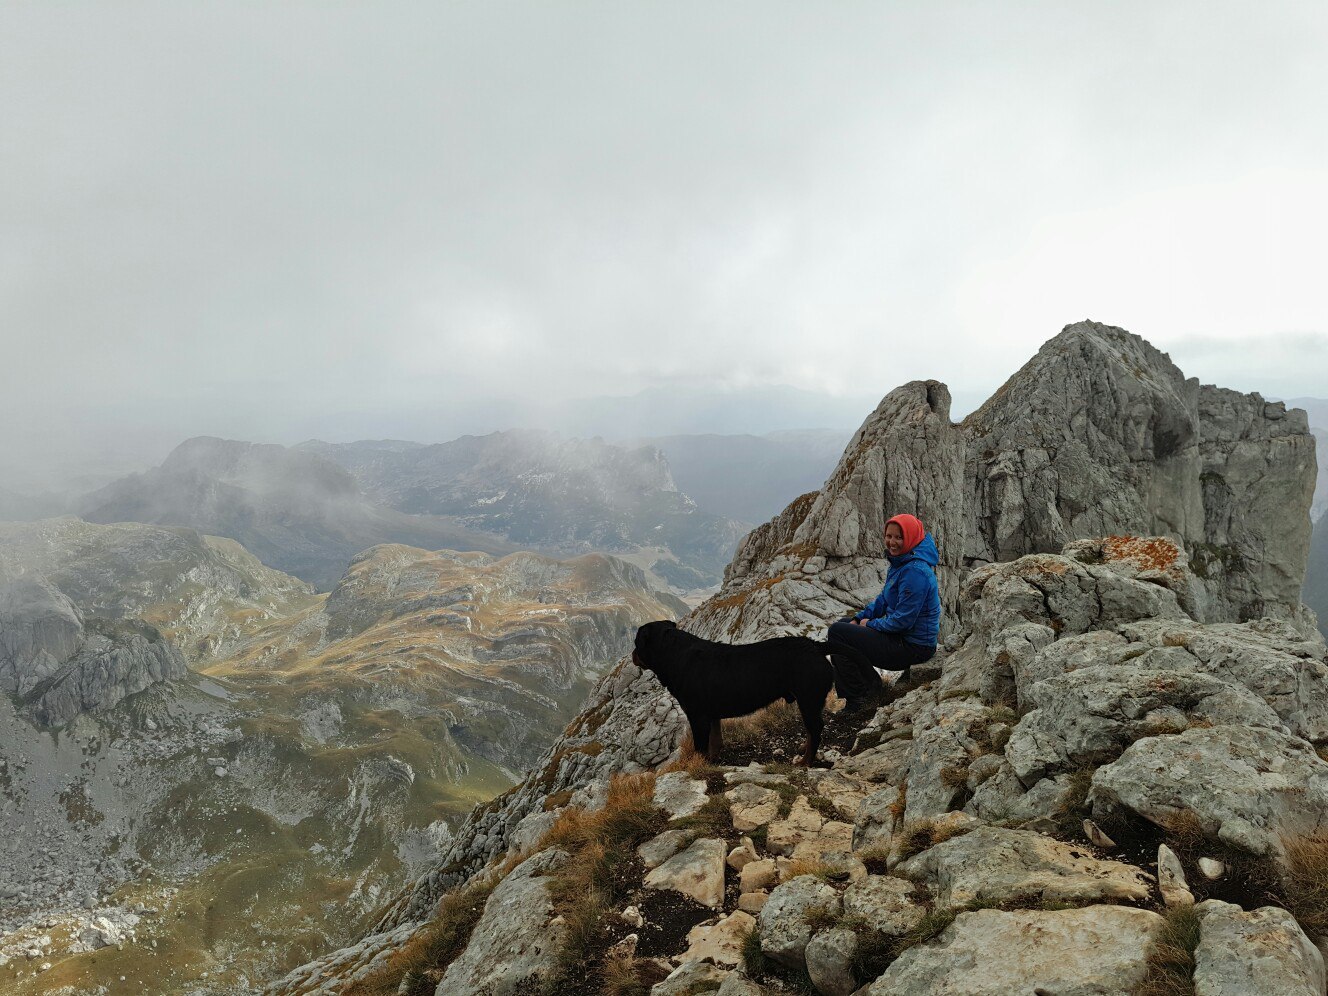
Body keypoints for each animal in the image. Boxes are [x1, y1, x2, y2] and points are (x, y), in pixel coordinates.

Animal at [629, 621, 828, 770]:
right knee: (812, 730)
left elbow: (700, 747)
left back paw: (805, 762)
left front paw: (698, 764)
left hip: (808, 699)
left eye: (636, 642)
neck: (674, 655)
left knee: (816, 729)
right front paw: (713, 760)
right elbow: (715, 741)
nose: (632, 654)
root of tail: (815, 646)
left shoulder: (697, 717)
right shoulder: (711, 715)